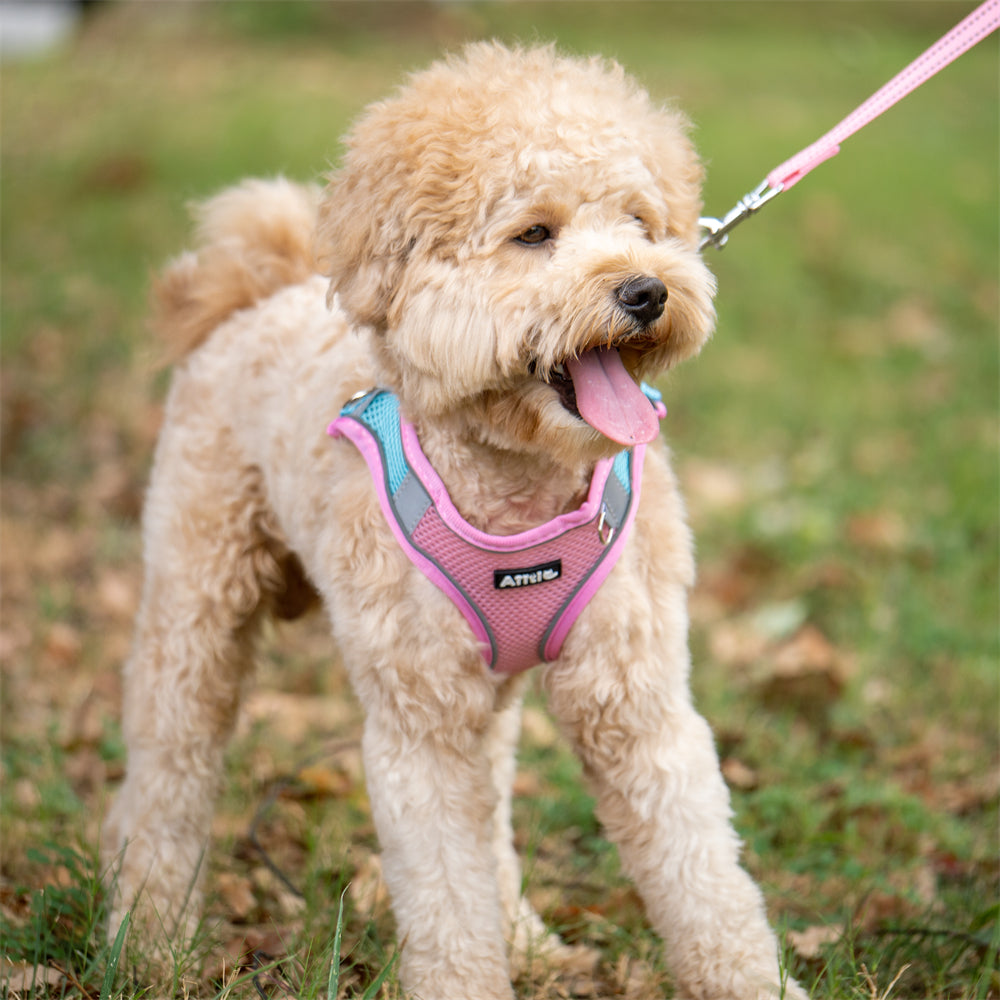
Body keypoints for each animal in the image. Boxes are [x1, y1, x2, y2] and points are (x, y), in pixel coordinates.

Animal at [103, 41, 804, 1000]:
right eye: (535, 234)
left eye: (640, 221)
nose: (647, 291)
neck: (515, 482)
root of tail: (260, 288)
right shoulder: (419, 724)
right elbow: (443, 890)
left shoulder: (637, 701)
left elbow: (704, 879)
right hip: (196, 600)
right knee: (168, 771)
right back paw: (146, 940)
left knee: (493, 799)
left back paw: (526, 939)